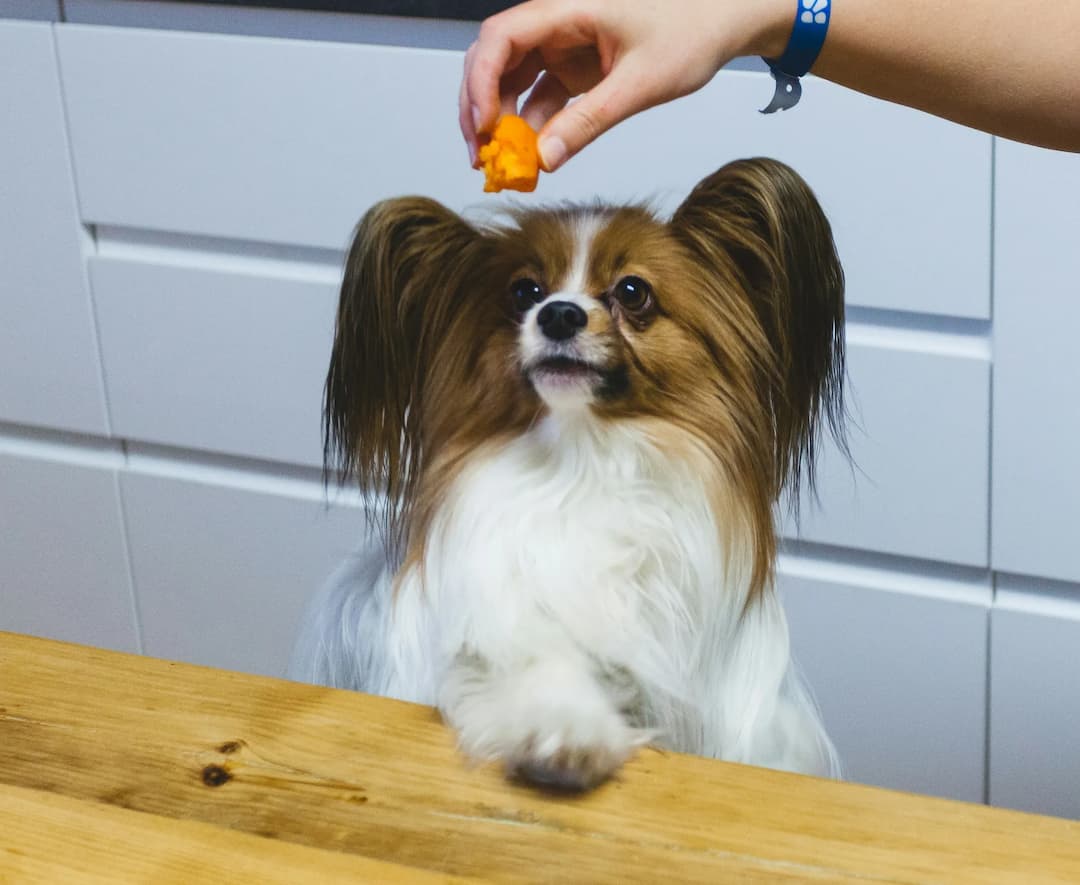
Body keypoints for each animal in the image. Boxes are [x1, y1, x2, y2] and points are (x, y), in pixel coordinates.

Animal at [291, 157, 846, 790]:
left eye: (633, 290)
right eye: (524, 291)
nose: (558, 312)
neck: (586, 463)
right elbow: (534, 663)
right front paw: (566, 733)